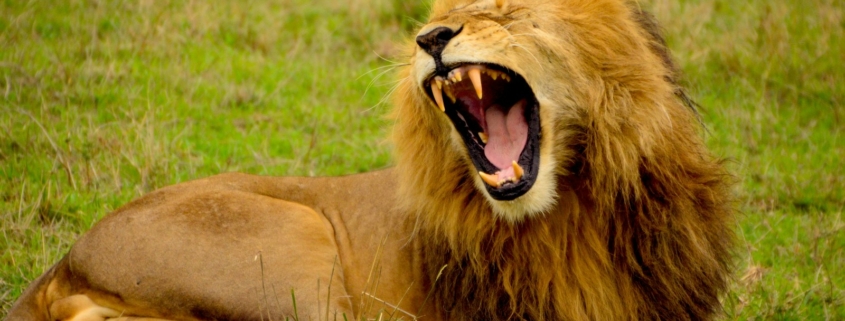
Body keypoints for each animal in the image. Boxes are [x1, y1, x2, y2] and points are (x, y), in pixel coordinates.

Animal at [4, 0, 732, 320]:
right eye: (441, 13)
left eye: (502, 11)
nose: (429, 38)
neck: (572, 208)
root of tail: (62, 262)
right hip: (297, 251)